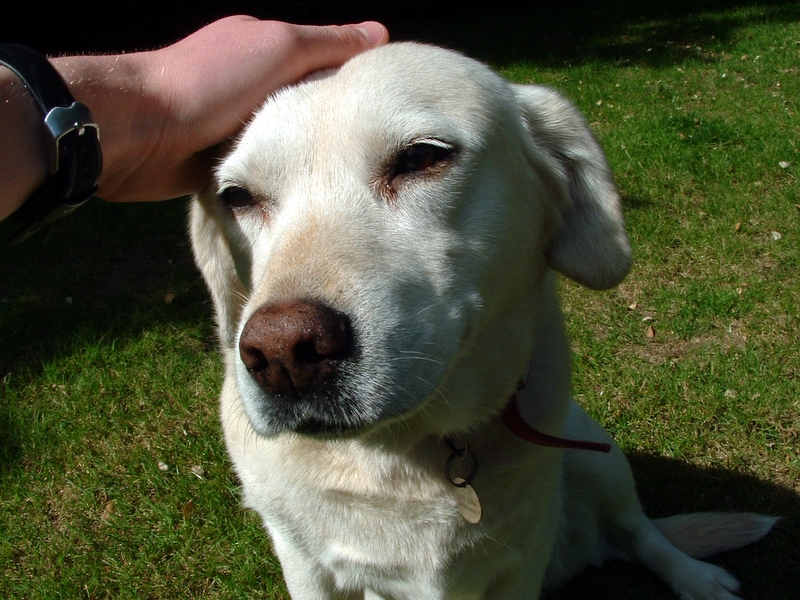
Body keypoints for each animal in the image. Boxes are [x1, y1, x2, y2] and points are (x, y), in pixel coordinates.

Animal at [189, 43, 776, 600]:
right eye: (237, 197)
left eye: (421, 157)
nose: (282, 353)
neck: (402, 454)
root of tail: (586, 551)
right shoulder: (304, 564)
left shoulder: (524, 556)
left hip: (600, 455)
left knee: (642, 533)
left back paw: (697, 577)